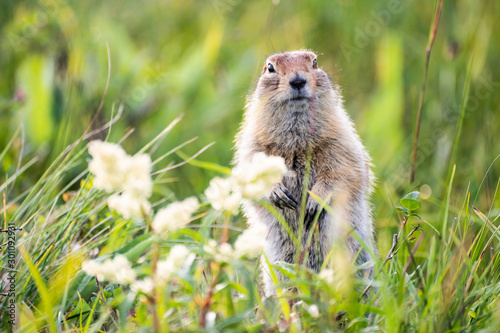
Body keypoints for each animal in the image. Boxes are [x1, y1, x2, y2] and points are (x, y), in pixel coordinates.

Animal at [234, 49, 376, 294]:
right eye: (270, 67)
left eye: (315, 62)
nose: (298, 80)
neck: (296, 142)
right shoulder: (253, 147)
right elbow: (251, 174)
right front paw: (278, 193)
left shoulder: (341, 143)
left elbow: (342, 173)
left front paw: (314, 201)